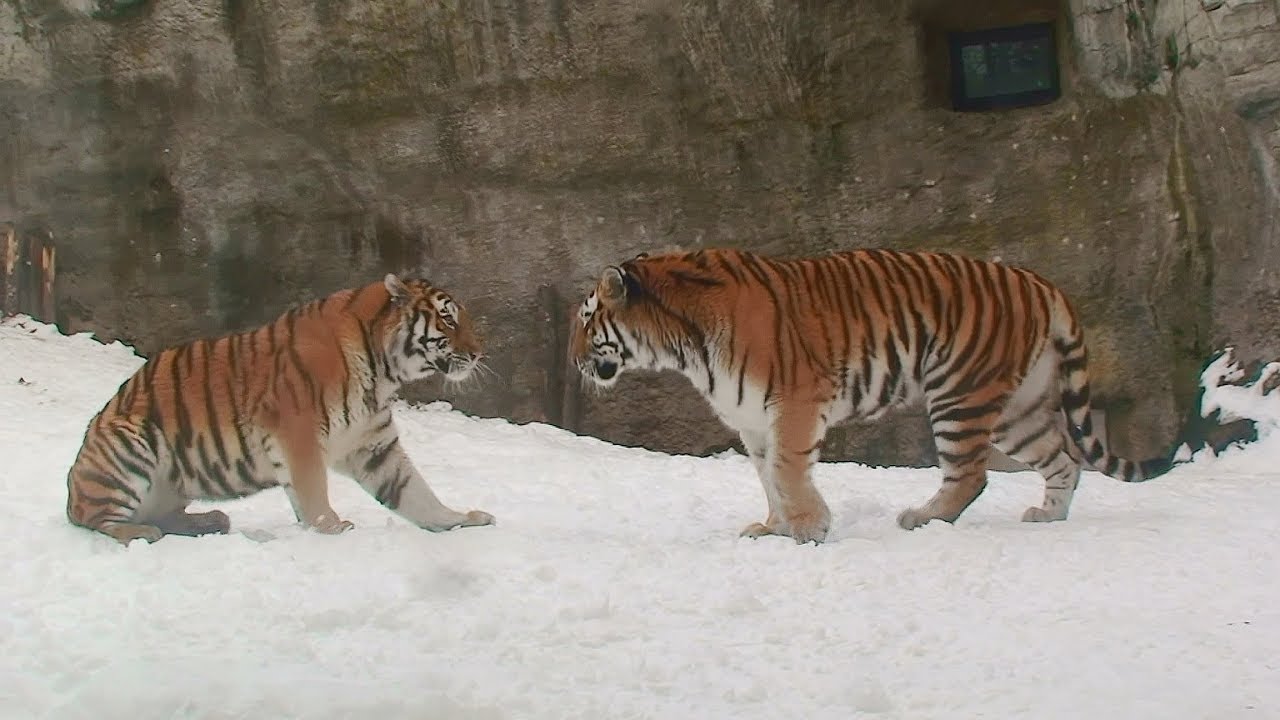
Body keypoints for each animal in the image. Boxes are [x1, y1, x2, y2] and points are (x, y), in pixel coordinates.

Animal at [66, 273, 495, 545]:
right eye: (447, 318)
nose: (478, 353)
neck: (384, 372)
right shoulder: (297, 431)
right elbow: (312, 490)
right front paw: (333, 530)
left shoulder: (374, 445)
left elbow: (416, 492)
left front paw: (459, 520)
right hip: (129, 444)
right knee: (96, 520)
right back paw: (141, 534)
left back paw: (210, 521)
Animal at [570, 247, 1176, 544]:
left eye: (586, 319)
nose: (572, 359)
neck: (681, 343)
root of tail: (1040, 282)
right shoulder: (753, 421)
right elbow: (768, 477)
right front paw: (772, 528)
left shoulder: (794, 402)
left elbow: (787, 471)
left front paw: (809, 529)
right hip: (1017, 410)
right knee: (1064, 458)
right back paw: (1047, 517)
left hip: (959, 393)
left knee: (971, 475)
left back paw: (922, 520)